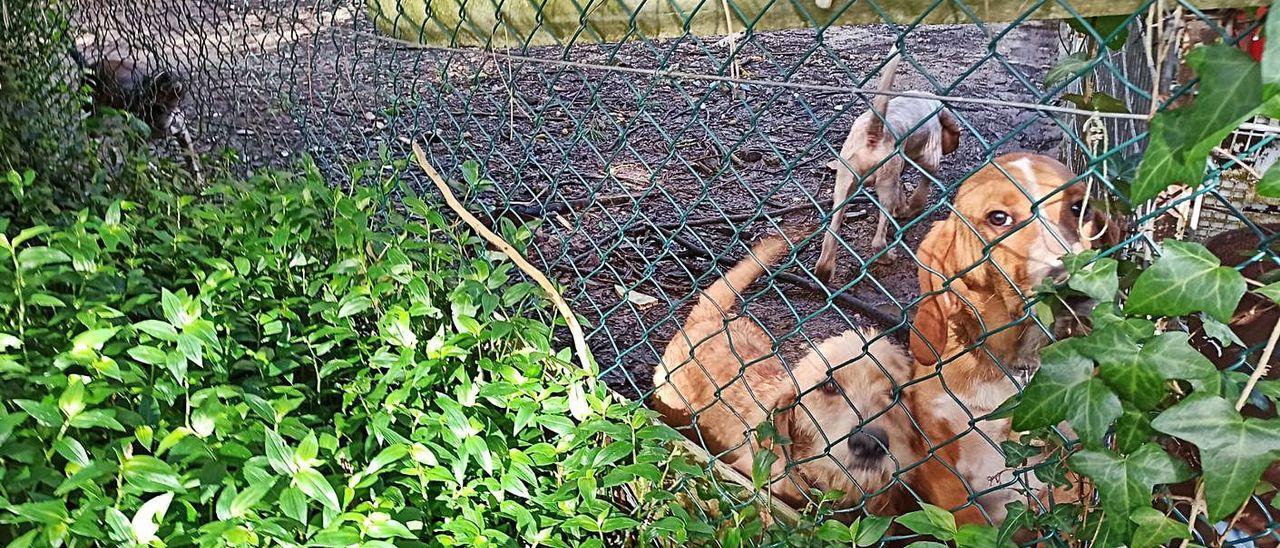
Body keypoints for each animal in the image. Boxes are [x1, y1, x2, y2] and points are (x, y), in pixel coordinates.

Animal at [819, 48, 962, 282]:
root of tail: (874, 132)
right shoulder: (929, 161)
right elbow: (921, 189)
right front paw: (911, 208)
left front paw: (903, 207)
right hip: (886, 184)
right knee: (878, 239)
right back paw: (887, 256)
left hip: (844, 184)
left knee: (831, 234)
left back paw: (823, 270)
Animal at [901, 153, 1121, 522]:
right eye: (999, 218)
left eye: (1080, 208)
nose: (1076, 288)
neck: (1010, 366)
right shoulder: (941, 464)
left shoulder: (1070, 470)